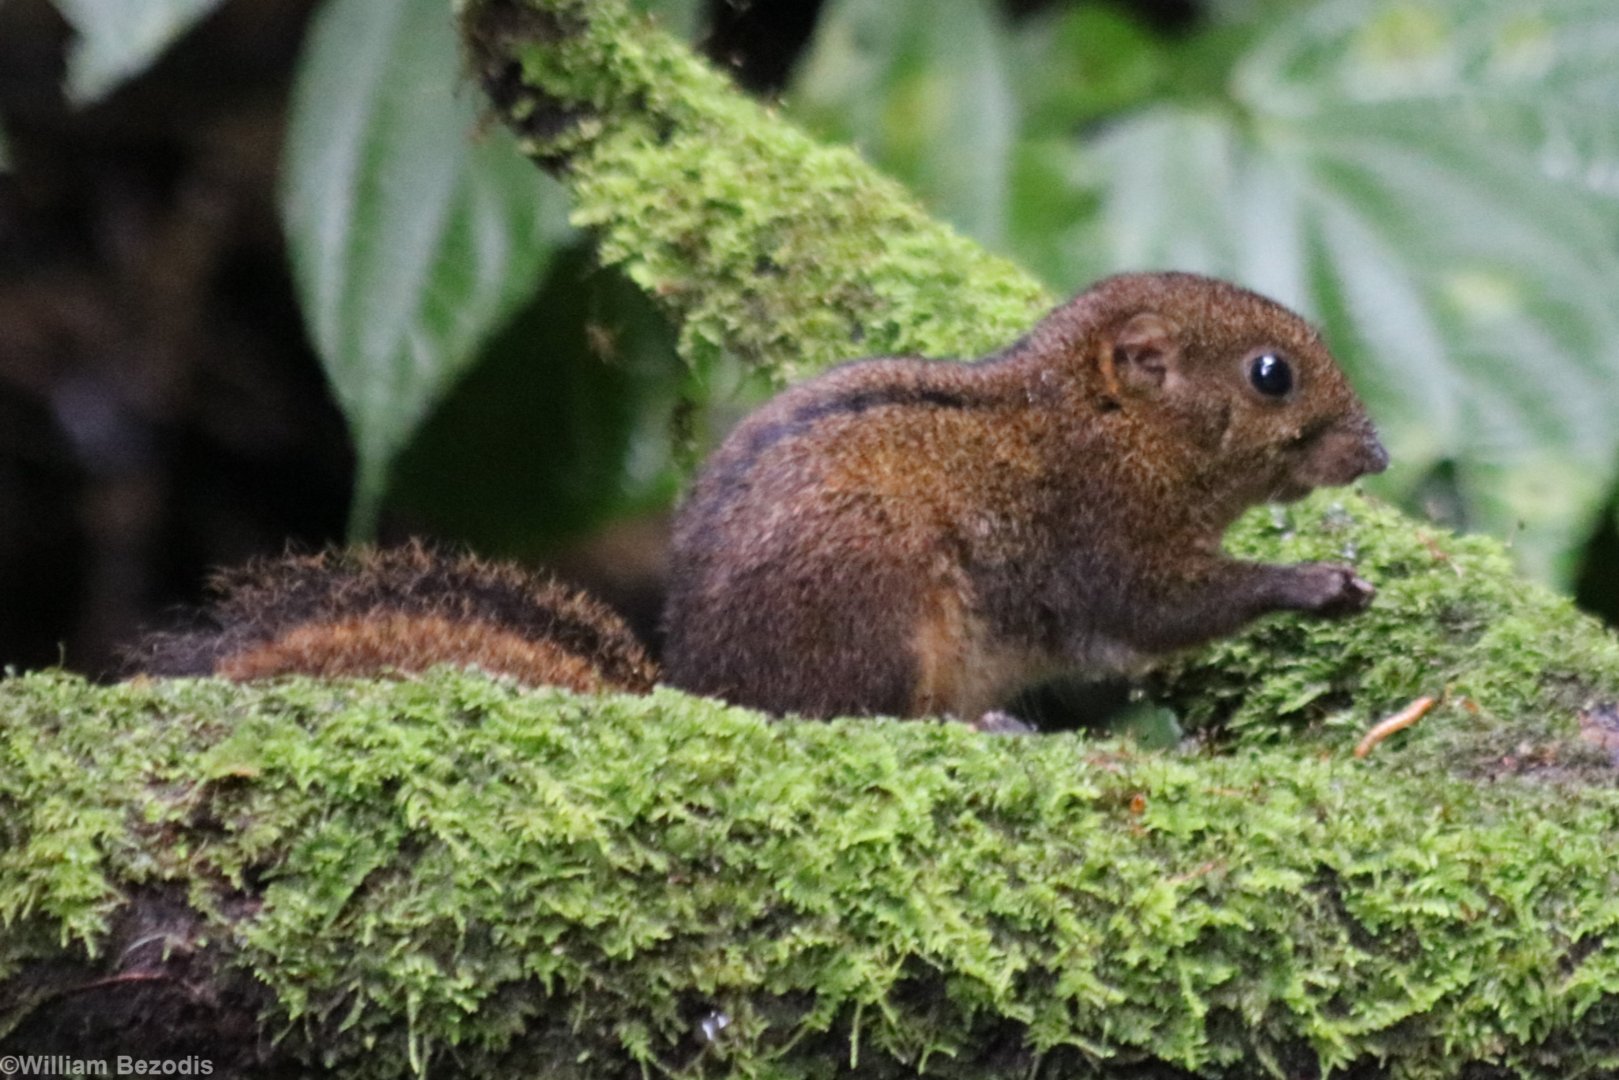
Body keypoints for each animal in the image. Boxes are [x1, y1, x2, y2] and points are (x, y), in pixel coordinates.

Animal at [135, 272, 1386, 723]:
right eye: (1268, 374)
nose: (1372, 450)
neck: (1097, 426)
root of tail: (706, 689)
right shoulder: (1102, 536)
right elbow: (1159, 609)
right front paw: (1312, 582)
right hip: (879, 598)